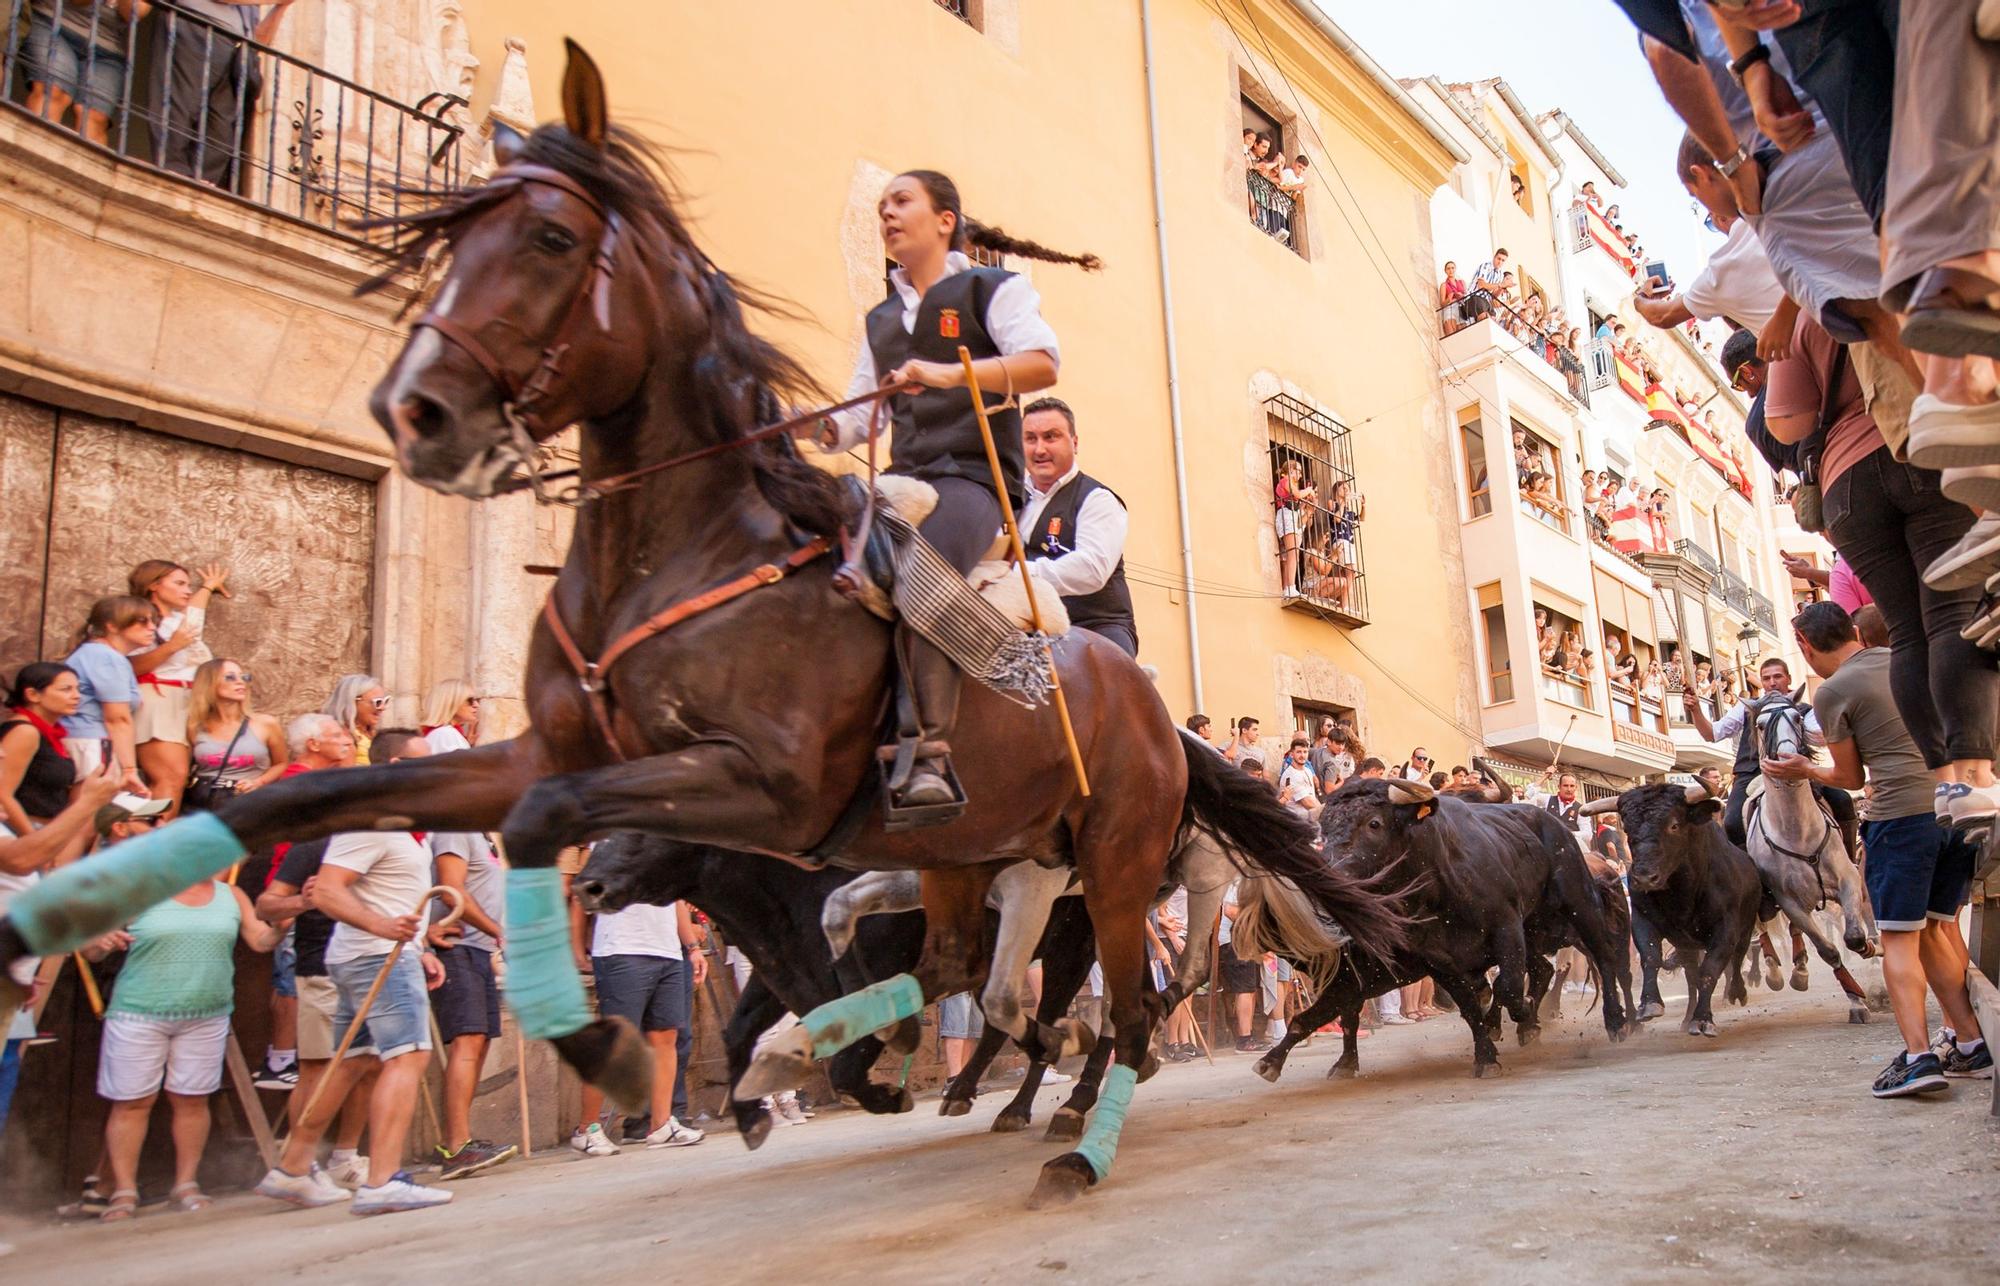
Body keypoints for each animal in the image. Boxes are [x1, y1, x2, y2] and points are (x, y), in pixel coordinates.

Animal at [3, 37, 1408, 1208]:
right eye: (460, 232)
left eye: (551, 238)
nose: (419, 411)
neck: (673, 550)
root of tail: (1148, 705)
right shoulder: (549, 753)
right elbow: (303, 796)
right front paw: (77, 898)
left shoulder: (758, 785)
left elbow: (542, 823)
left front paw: (608, 1047)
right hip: (972, 853)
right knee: (976, 969)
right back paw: (857, 1057)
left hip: (1111, 861)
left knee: (1122, 1003)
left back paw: (1068, 1133)